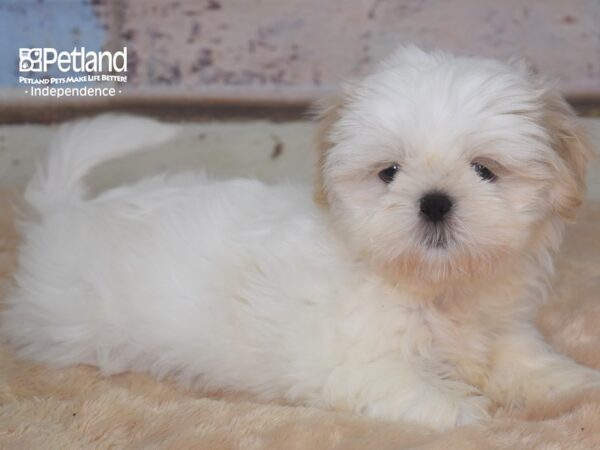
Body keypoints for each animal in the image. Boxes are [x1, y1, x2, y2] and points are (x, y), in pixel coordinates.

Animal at [2, 45, 596, 428]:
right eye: (389, 174)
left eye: (484, 170)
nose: (433, 202)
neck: (437, 288)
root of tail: (65, 209)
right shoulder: (353, 363)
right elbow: (423, 395)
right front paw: (469, 413)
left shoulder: (501, 328)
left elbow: (526, 361)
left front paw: (574, 385)